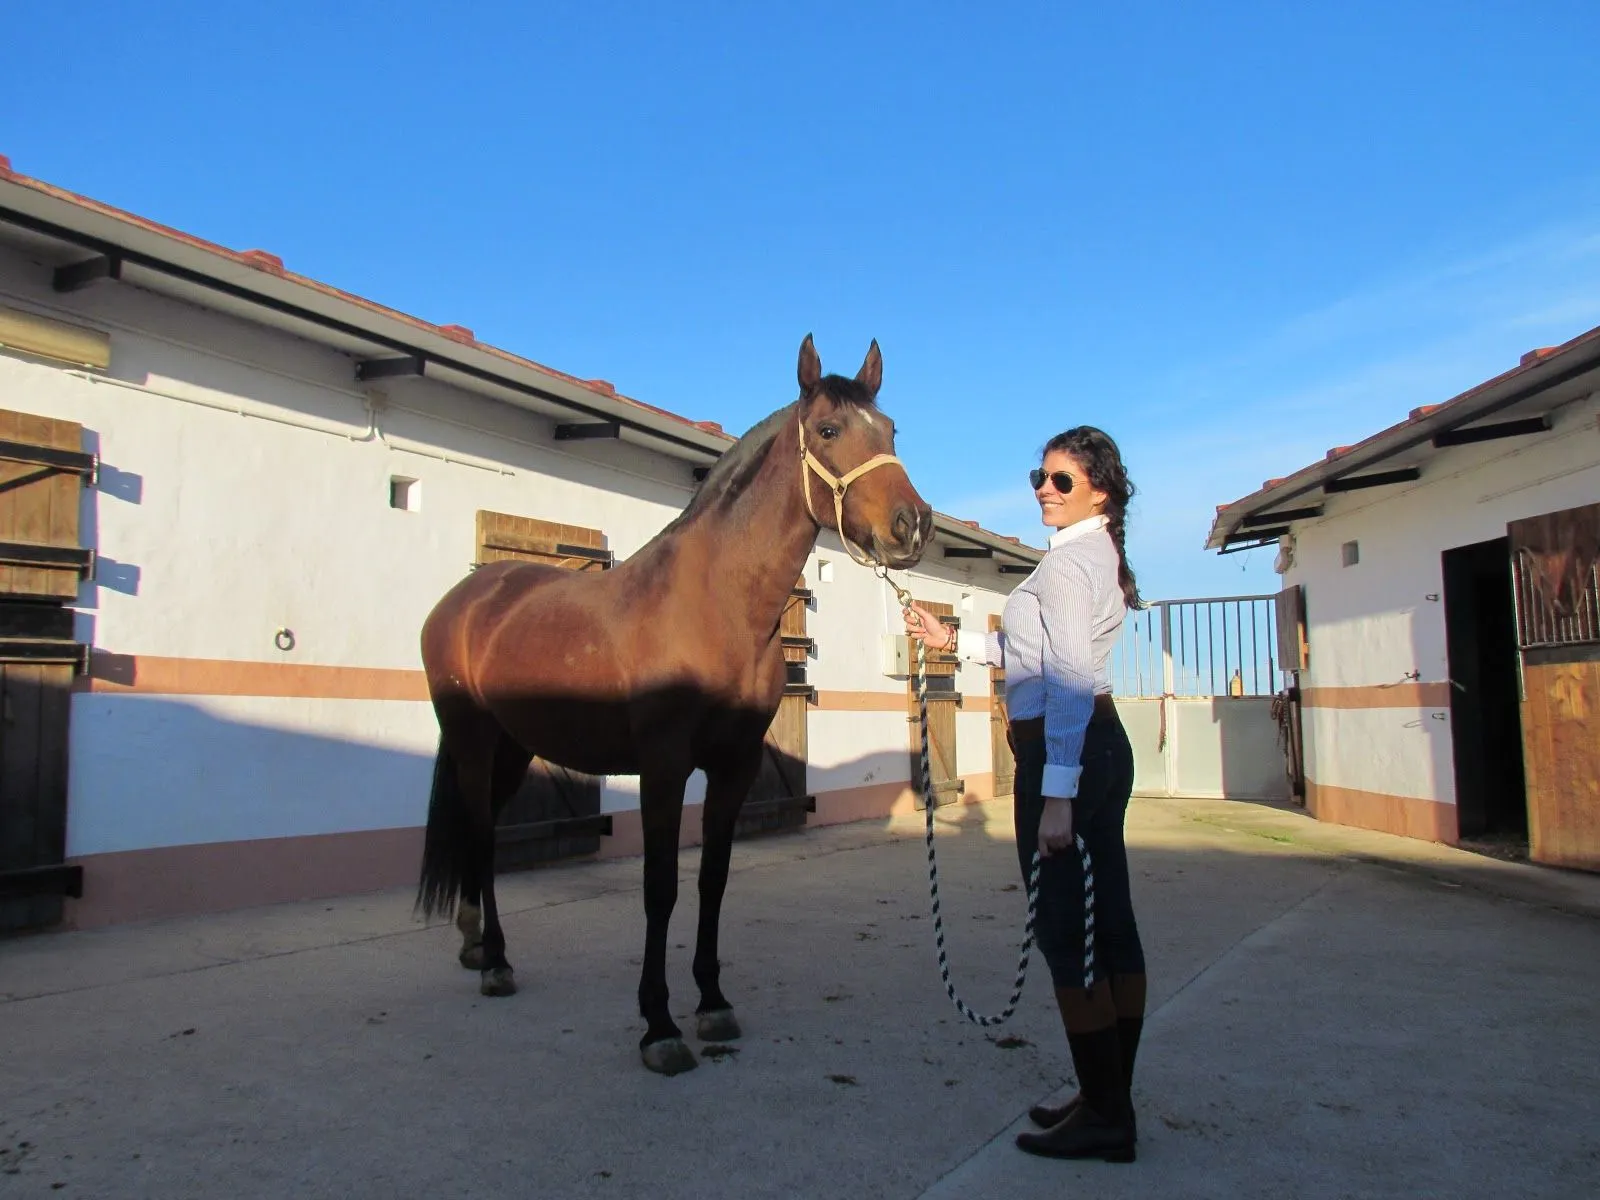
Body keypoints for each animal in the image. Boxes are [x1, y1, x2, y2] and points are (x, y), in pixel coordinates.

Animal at [415, 334, 934, 1074]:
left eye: (890, 431)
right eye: (830, 430)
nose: (910, 526)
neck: (714, 606)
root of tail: (462, 601)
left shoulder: (734, 767)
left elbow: (712, 879)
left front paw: (712, 1003)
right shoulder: (662, 768)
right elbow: (660, 887)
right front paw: (658, 1025)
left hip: (514, 748)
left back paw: (476, 945)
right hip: (474, 739)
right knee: (483, 834)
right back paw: (496, 963)